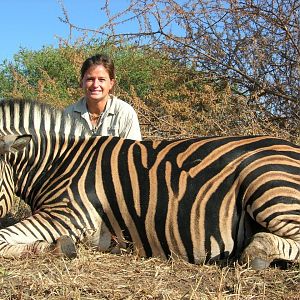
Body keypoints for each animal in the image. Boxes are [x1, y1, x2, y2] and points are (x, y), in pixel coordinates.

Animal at [0, 99, 298, 270]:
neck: (59, 163)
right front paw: (47, 247)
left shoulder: (67, 216)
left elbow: (3, 238)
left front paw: (52, 247)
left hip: (265, 185)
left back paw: (256, 252)